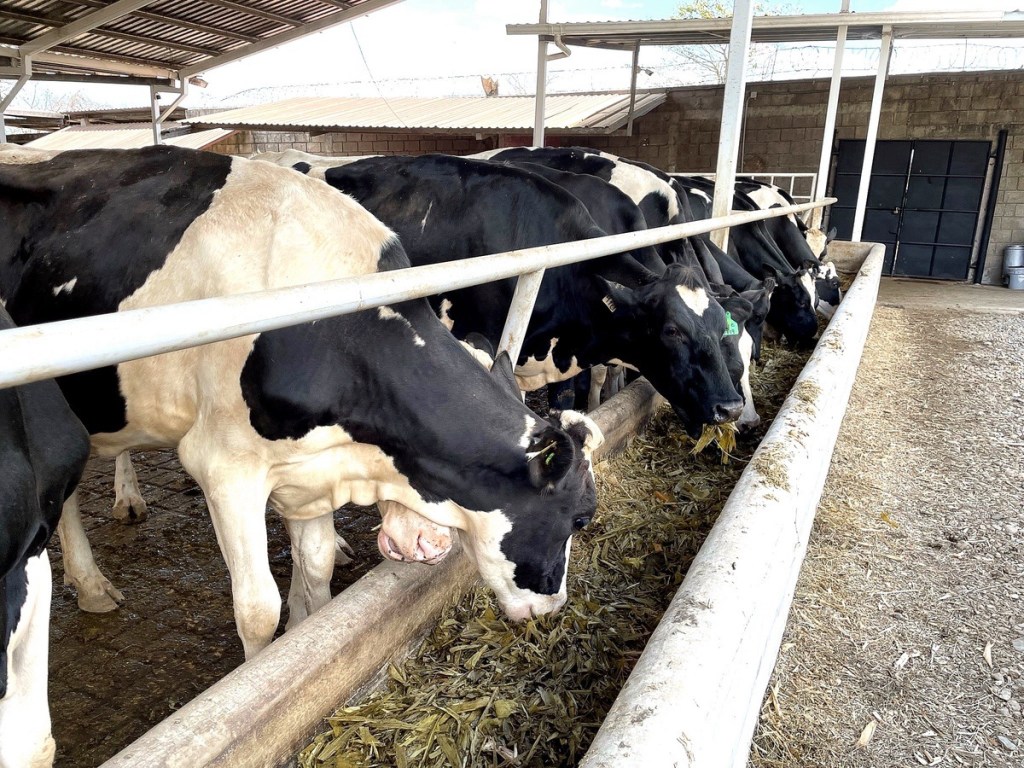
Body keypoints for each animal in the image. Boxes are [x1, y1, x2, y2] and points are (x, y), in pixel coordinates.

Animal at [0, 144, 602, 659]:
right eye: (579, 518)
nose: (553, 605)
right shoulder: (223, 468)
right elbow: (257, 609)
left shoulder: (313, 469)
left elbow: (315, 568)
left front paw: (302, 629)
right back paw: (93, 582)